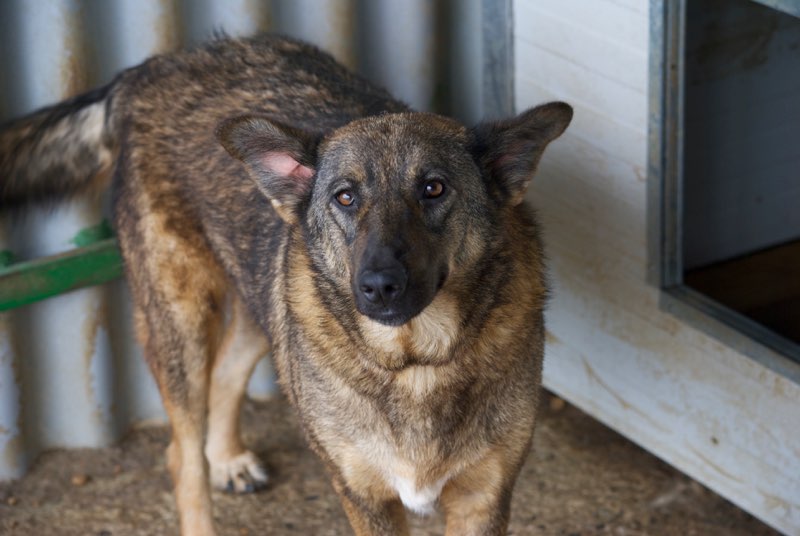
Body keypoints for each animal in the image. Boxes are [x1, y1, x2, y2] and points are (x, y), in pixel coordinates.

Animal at [3, 34, 572, 536]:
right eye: (345, 197)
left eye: (433, 188)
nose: (378, 286)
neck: (414, 363)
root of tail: (153, 67)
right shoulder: (365, 496)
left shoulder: (484, 497)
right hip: (181, 320)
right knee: (181, 457)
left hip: (269, 307)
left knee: (227, 373)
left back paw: (227, 458)